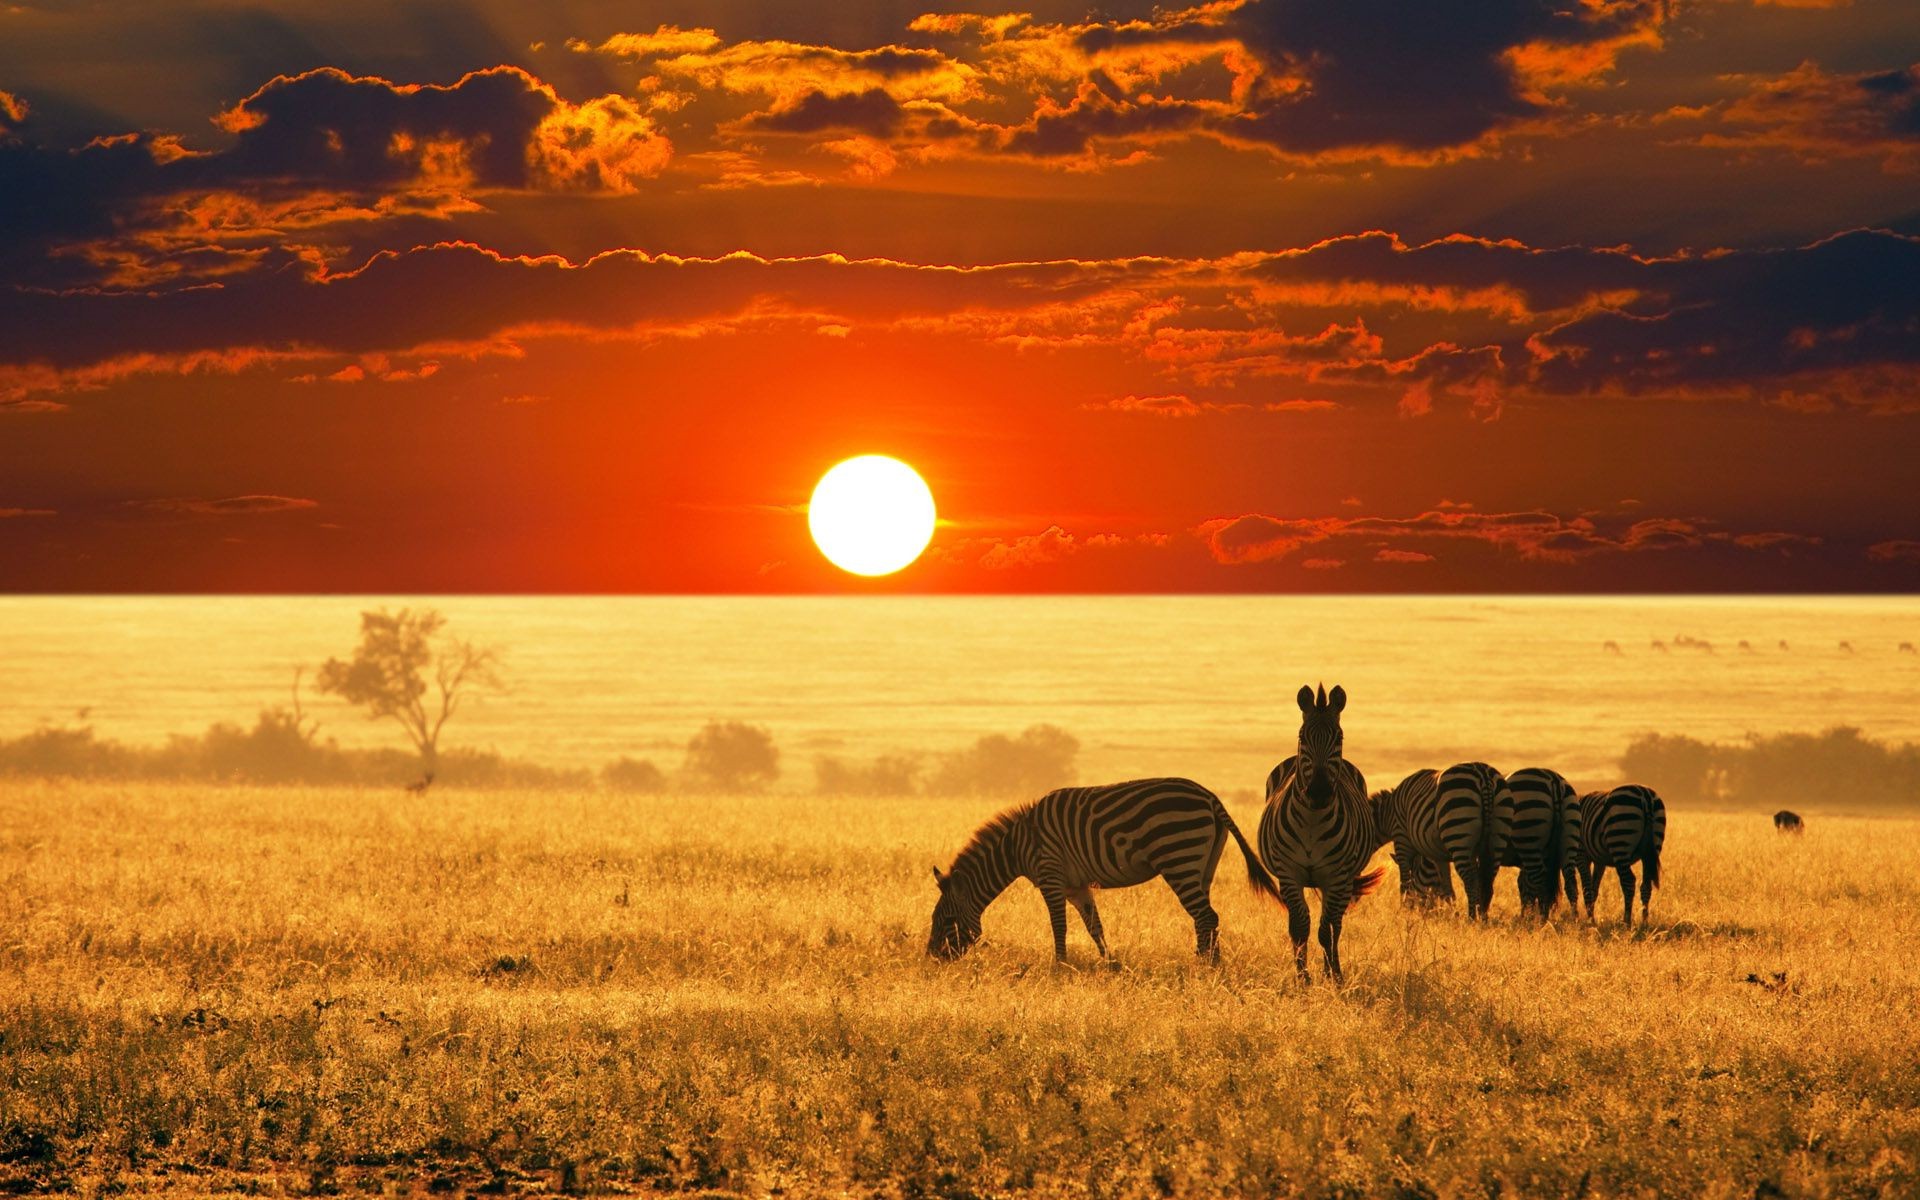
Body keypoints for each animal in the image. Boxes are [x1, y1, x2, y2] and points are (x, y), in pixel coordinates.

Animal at [925, 775, 1282, 963]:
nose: (931, 960)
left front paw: (1059, 967)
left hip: (1178, 856)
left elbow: (1059, 927)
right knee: (1206, 917)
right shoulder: (1076, 886)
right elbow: (1094, 925)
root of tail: (1209, 796)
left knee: (1206, 916)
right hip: (1203, 865)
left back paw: (1206, 967)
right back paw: (1209, 963)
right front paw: (1111, 964)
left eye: (946, 919)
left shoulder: (1051, 876)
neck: (1017, 845)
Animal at [1251, 683, 1390, 983]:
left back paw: (1335, 969)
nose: (1319, 791)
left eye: (1339, 737)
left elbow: (1326, 930)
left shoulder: (1336, 876)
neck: (1312, 820)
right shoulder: (1289, 873)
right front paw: (1302, 978)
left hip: (1342, 880)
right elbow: (1300, 926)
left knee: (1336, 923)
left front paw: (1331, 977)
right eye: (1302, 737)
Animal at [1505, 768, 1582, 917]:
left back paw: (1542, 920)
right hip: (1569, 836)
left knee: (1541, 884)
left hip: (1528, 836)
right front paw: (1525, 915)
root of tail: (1553, 778)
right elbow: (1524, 887)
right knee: (1570, 883)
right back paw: (1574, 919)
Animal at [1574, 787, 1666, 925]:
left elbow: (1587, 888)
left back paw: (1626, 921)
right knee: (1646, 885)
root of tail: (1645, 796)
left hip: (1620, 842)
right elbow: (1594, 889)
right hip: (1652, 849)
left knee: (1629, 882)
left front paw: (1590, 920)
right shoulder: (1599, 861)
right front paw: (1591, 918)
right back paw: (1644, 922)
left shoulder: (1581, 854)